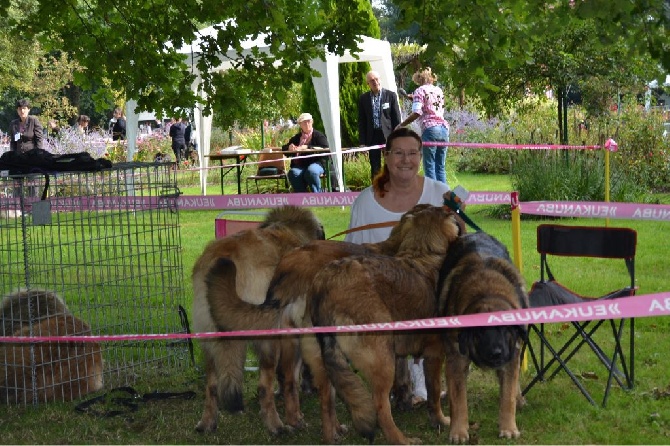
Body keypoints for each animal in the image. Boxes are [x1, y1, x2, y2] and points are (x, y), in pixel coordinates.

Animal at [192, 207, 326, 434]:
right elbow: (290, 377)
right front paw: (296, 416)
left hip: (209, 335)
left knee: (211, 385)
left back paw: (207, 423)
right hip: (266, 336)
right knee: (264, 386)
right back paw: (276, 426)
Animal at [308, 205, 462, 442]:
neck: (423, 252)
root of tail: (326, 281)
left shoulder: (400, 353)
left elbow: (405, 379)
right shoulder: (435, 353)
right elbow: (434, 392)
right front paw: (440, 420)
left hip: (329, 359)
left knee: (327, 396)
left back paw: (332, 434)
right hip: (381, 357)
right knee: (379, 405)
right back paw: (402, 440)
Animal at [438, 232, 532, 444]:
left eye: (505, 328)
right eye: (480, 331)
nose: (495, 353)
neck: (488, 292)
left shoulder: (511, 355)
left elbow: (507, 396)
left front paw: (508, 427)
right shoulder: (456, 359)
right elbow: (459, 400)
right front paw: (458, 431)